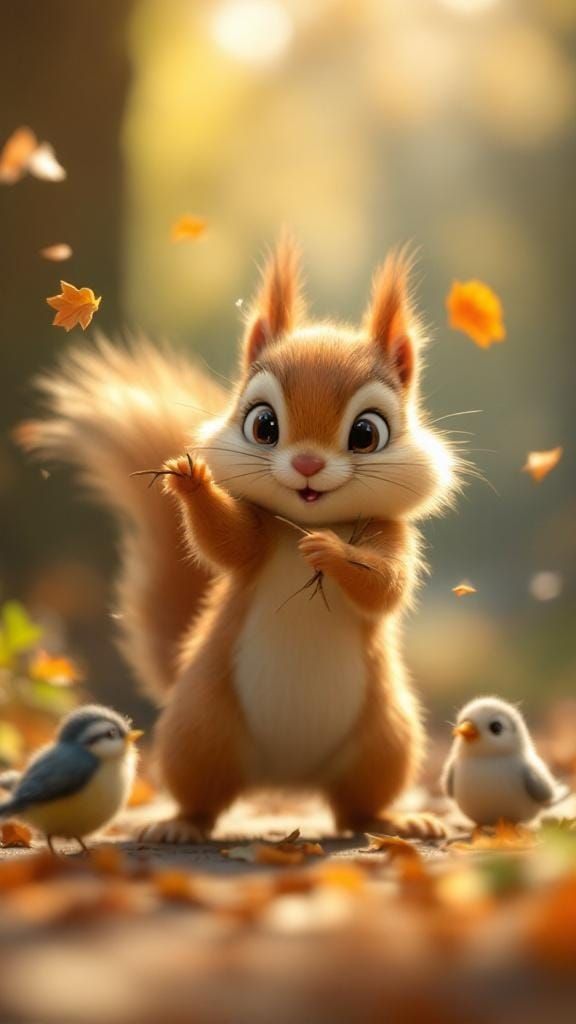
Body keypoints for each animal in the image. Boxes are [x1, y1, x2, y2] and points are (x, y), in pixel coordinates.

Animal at [19, 237, 459, 842]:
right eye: (263, 425)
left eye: (367, 433)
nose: (306, 465)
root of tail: (287, 781)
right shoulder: (256, 537)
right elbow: (223, 544)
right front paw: (191, 480)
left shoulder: (392, 535)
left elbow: (387, 584)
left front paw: (332, 551)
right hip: (201, 729)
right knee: (204, 797)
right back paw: (180, 826)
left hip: (384, 739)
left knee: (355, 806)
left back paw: (397, 820)